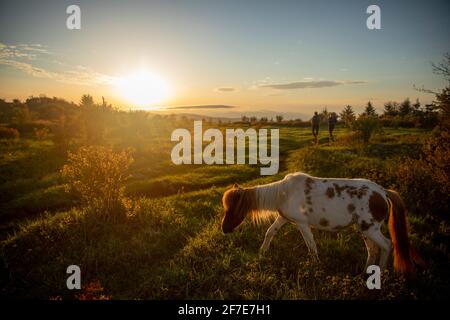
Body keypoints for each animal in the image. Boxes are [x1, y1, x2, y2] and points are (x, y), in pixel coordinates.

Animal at [222, 172, 426, 276]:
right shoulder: (284, 218)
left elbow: (311, 246)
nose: (224, 229)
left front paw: (316, 267)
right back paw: (365, 272)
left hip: (371, 229)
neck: (284, 193)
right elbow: (270, 232)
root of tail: (383, 192)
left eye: (232, 208)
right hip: (364, 230)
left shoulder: (302, 224)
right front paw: (262, 252)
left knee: (386, 245)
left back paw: (379, 273)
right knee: (373, 250)